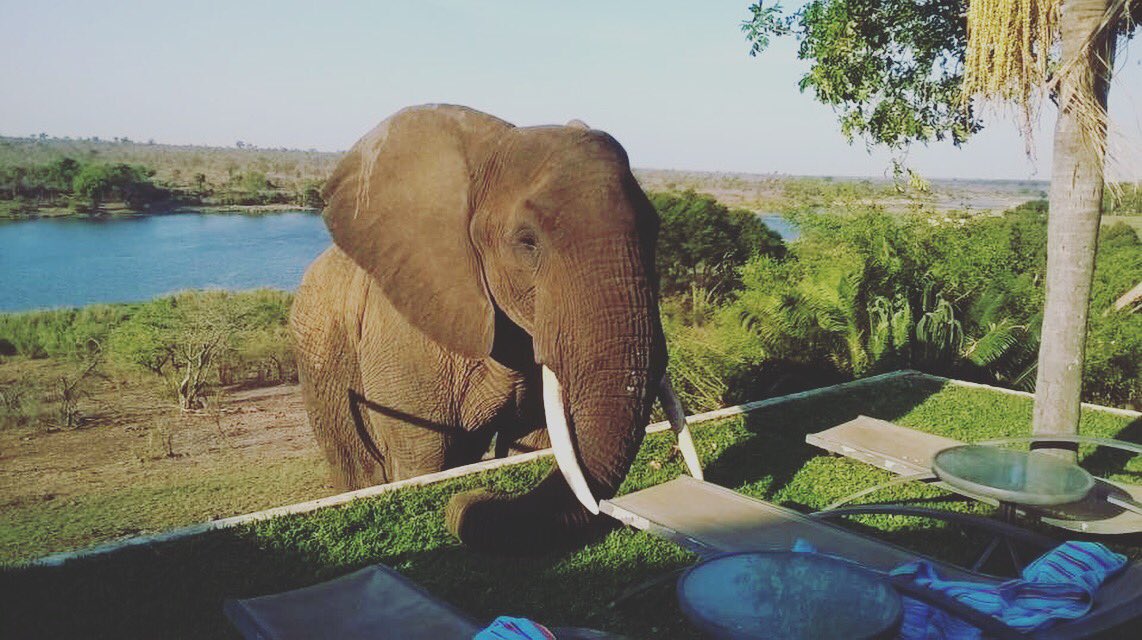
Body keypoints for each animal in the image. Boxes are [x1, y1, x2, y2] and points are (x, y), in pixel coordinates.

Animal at [290, 104, 701, 553]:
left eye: (655, 228)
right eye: (527, 242)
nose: (465, 501)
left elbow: (538, 440)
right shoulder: (400, 342)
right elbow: (425, 460)